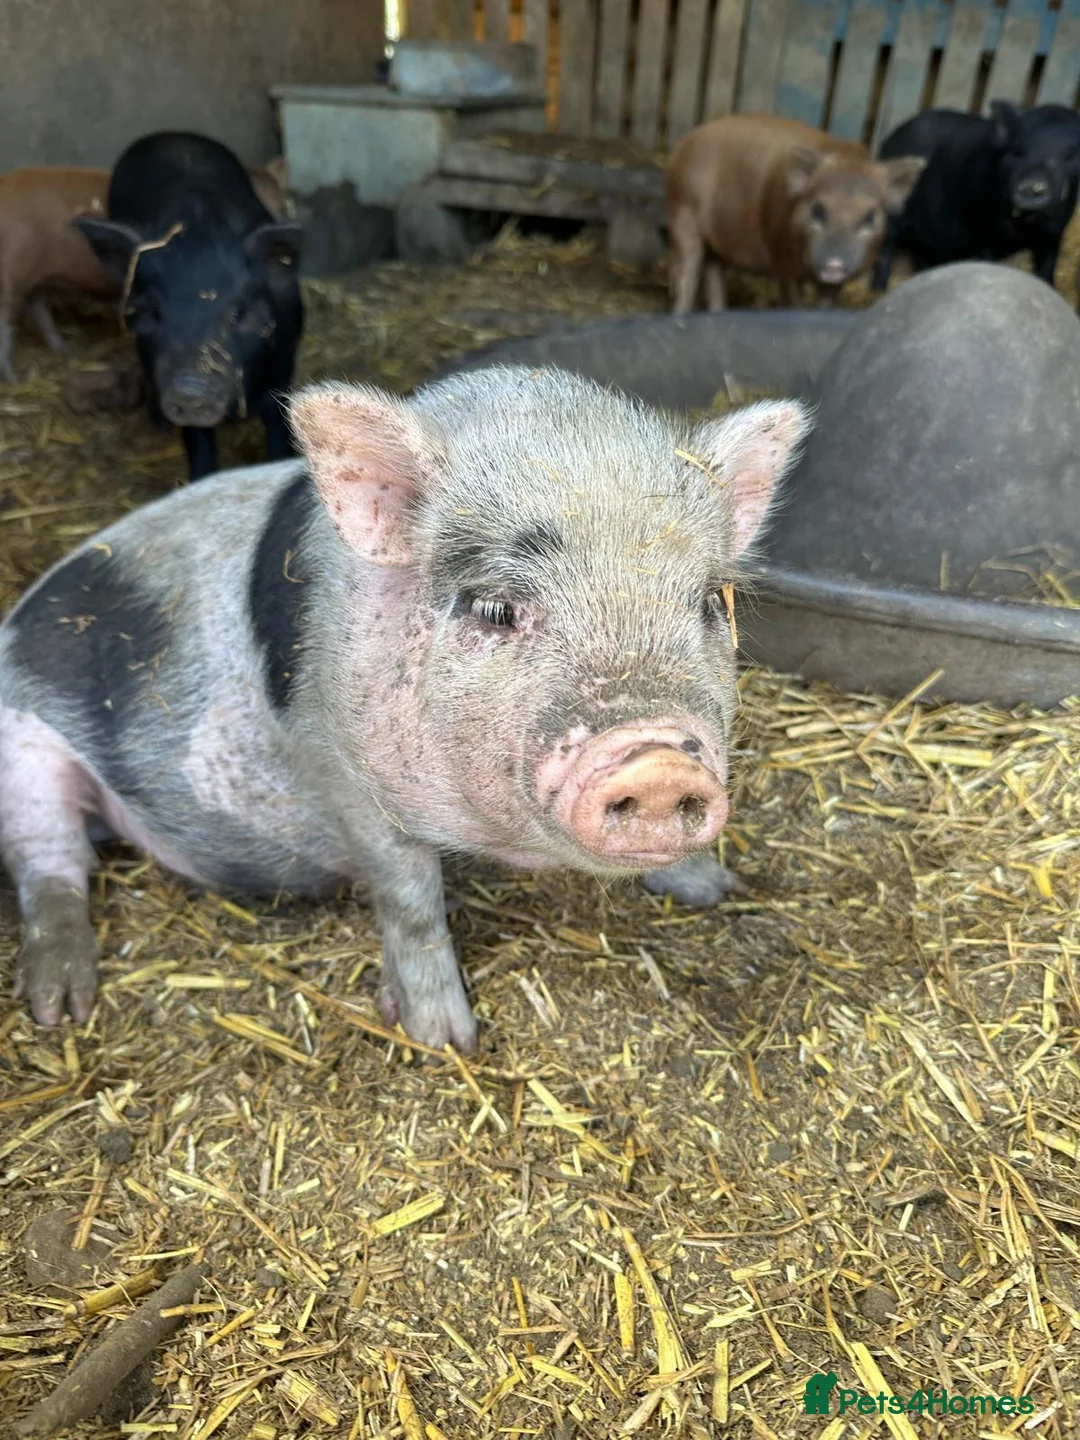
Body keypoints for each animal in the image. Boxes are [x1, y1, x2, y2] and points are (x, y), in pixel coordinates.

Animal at [0, 167, 115, 382]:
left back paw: (66, 350)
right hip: (15, 270)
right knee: (9, 319)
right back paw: (13, 378)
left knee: (37, 309)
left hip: (33, 277)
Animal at [0, 366, 809, 1049]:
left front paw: (717, 888)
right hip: (22, 756)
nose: (661, 761)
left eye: (708, 602)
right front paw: (445, 1040)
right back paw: (60, 1009)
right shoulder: (344, 776)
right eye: (494, 607)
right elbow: (409, 899)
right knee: (49, 868)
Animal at [73, 132, 304, 483]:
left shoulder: (283, 365)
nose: (189, 390)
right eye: (154, 313)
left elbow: (278, 431)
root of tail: (169, 134)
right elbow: (198, 444)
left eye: (238, 313)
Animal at [665, 114, 926, 312]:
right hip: (682, 211)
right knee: (687, 270)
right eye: (817, 209)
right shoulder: (781, 258)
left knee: (713, 272)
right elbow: (793, 302)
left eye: (870, 216)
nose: (834, 263)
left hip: (716, 244)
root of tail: (684, 144)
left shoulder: (835, 283)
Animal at [874, 103, 1080, 292]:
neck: (1023, 226)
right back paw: (879, 289)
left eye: (1071, 155)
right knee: (887, 244)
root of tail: (891, 137)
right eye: (1018, 150)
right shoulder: (982, 229)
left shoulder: (1054, 233)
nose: (1031, 186)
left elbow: (1047, 268)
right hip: (894, 211)